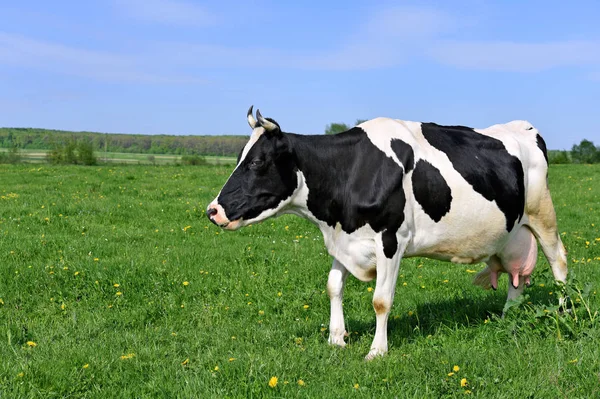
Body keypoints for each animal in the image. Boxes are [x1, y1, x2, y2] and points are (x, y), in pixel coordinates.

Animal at [206, 105, 568, 360]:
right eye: (239, 158)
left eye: (256, 162)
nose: (212, 211)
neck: (350, 170)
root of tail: (523, 126)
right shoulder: (344, 237)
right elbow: (333, 287)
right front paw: (336, 339)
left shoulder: (391, 239)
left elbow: (381, 300)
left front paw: (377, 351)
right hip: (512, 232)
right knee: (517, 277)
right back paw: (509, 317)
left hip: (543, 215)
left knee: (559, 264)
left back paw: (565, 313)